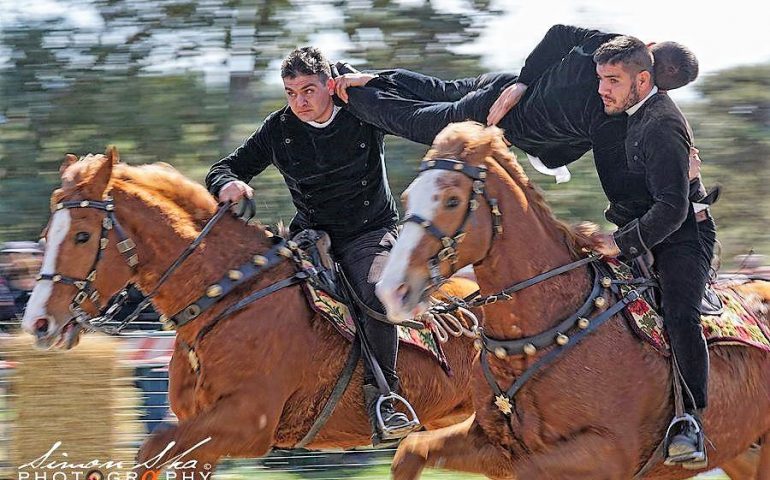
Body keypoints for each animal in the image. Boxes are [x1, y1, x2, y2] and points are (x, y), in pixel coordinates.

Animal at [21, 149, 480, 476]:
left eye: (82, 236)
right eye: (46, 234)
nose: (39, 322)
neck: (229, 296)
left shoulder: (248, 425)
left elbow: (151, 447)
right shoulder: (202, 437)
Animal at [376, 123, 768, 480]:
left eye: (452, 200)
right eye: (407, 198)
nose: (392, 288)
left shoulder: (603, 455)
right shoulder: (488, 442)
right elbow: (409, 451)